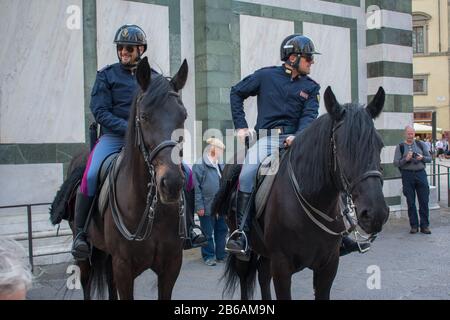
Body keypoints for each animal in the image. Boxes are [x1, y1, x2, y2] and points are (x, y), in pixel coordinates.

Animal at [50, 58, 189, 300]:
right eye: (144, 116)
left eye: (183, 116)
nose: (171, 183)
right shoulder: (124, 266)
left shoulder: (171, 266)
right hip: (87, 253)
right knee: (86, 281)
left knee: (109, 280)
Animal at [216, 86, 388, 298]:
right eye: (342, 147)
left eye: (379, 145)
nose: (376, 213)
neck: (312, 198)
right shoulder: (282, 267)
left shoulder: (328, 266)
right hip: (243, 252)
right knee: (244, 277)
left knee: (262, 274)